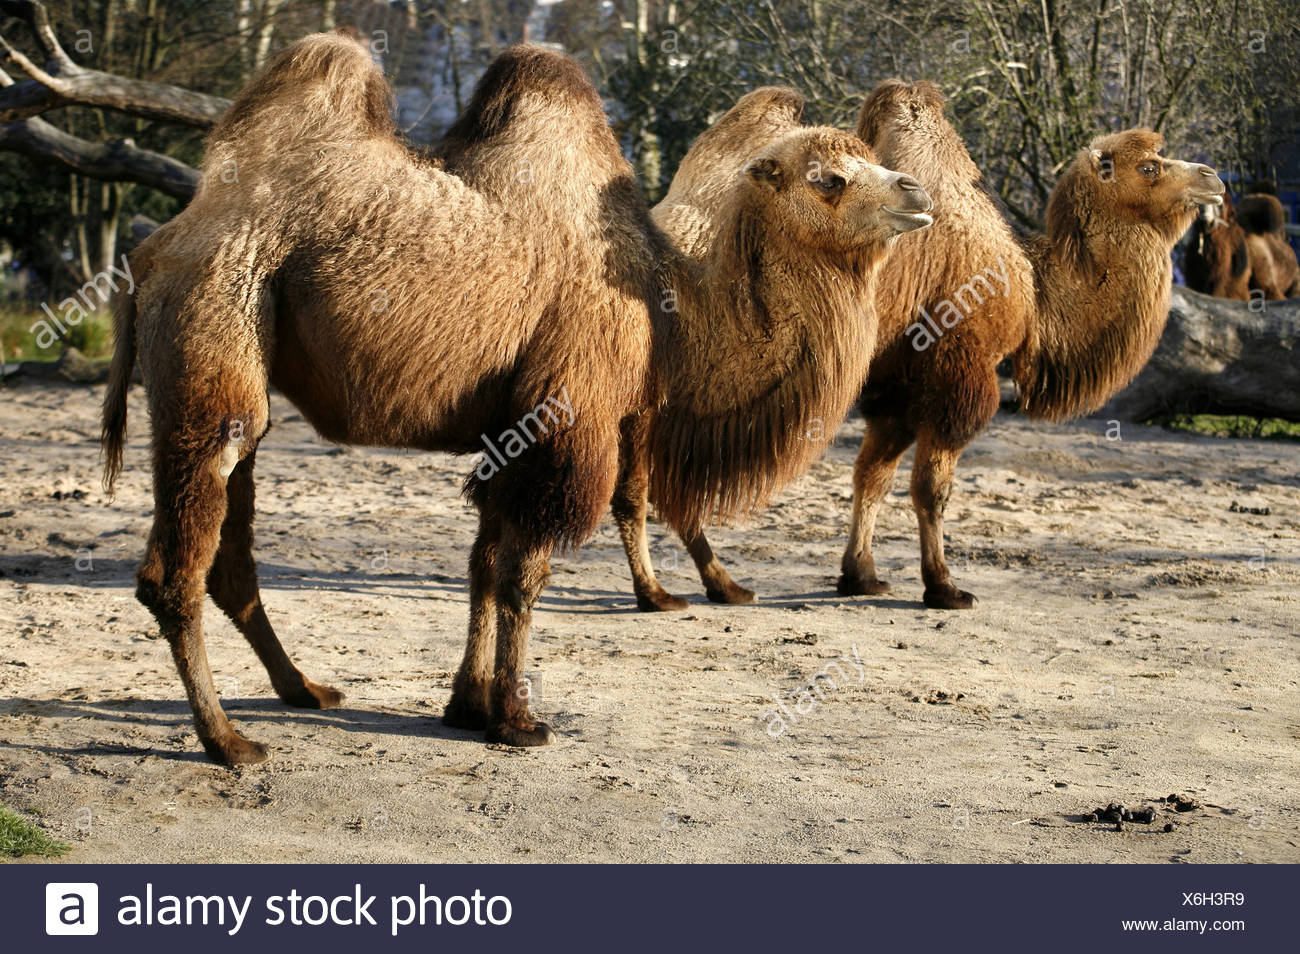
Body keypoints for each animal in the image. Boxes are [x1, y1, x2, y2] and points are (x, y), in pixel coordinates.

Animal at [104, 35, 935, 769]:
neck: (666, 309)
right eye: (827, 177)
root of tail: (151, 252)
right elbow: (523, 570)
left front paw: (467, 705)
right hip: (218, 318)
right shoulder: (570, 417)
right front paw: (517, 719)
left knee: (230, 553)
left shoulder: (511, 426)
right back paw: (229, 743)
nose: (917, 192)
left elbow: (483, 559)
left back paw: (304, 691)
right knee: (175, 566)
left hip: (245, 364)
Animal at [613, 76, 1222, 613]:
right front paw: (944, 588)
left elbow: (871, 477)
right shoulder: (960, 371)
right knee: (651, 485)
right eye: (1149, 167)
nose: (1213, 175)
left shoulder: (895, 388)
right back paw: (680, 589)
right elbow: (931, 489)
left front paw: (860, 576)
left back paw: (723, 585)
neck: (1031, 285)